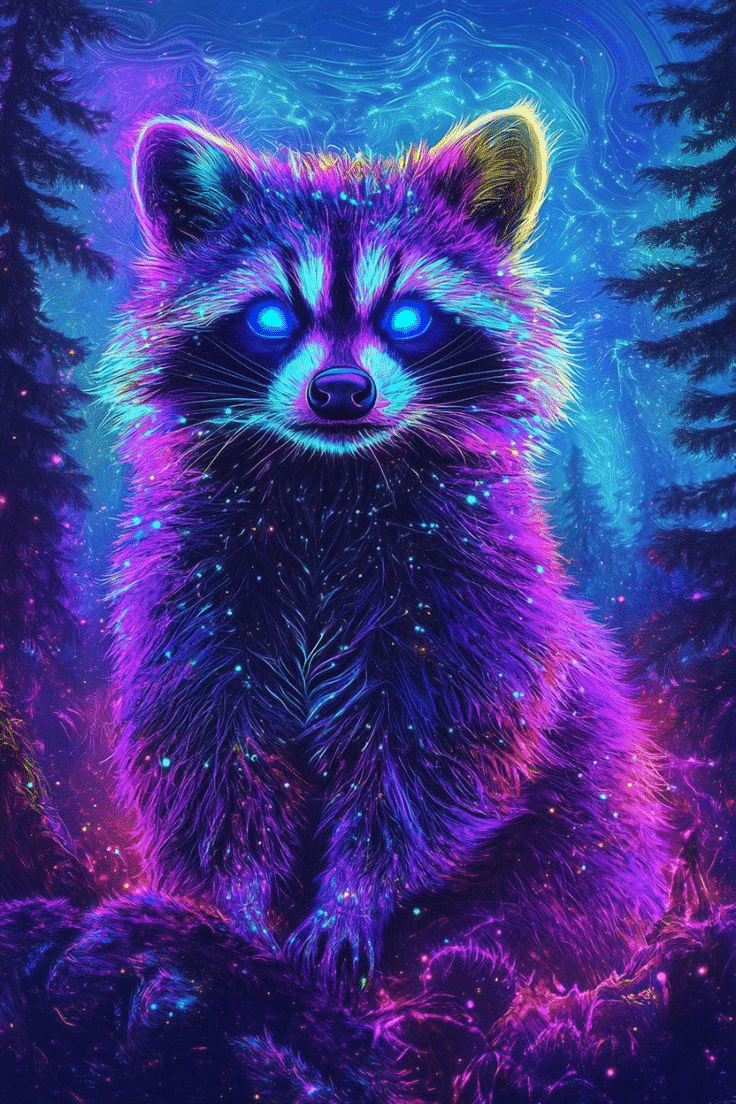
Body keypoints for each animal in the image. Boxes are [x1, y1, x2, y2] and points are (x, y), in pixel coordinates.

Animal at [103, 106, 666, 1001]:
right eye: (270, 318)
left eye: (407, 318)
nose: (341, 393)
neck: (330, 479)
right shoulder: (193, 584)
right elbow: (208, 744)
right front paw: (236, 904)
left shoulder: (470, 588)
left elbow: (433, 752)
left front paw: (353, 898)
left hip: (597, 809)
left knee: (570, 885)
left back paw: (482, 959)